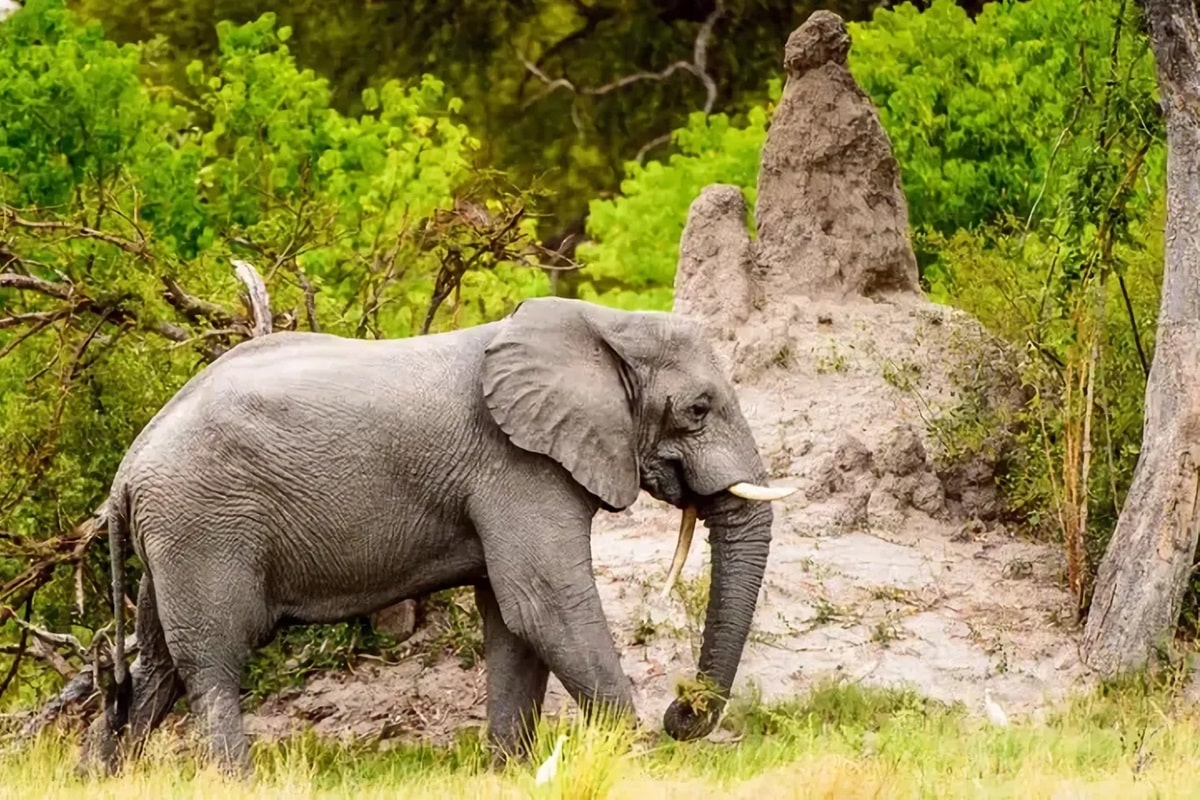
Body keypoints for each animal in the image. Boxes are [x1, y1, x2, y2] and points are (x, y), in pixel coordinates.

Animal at [77, 293, 796, 777]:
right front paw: (633, 759)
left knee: (157, 668)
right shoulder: (516, 464)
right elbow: (546, 606)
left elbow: (512, 621)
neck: (604, 323)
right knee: (213, 662)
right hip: (202, 527)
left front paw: (509, 773)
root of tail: (126, 471)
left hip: (170, 539)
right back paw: (237, 782)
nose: (683, 710)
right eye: (698, 409)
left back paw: (103, 775)